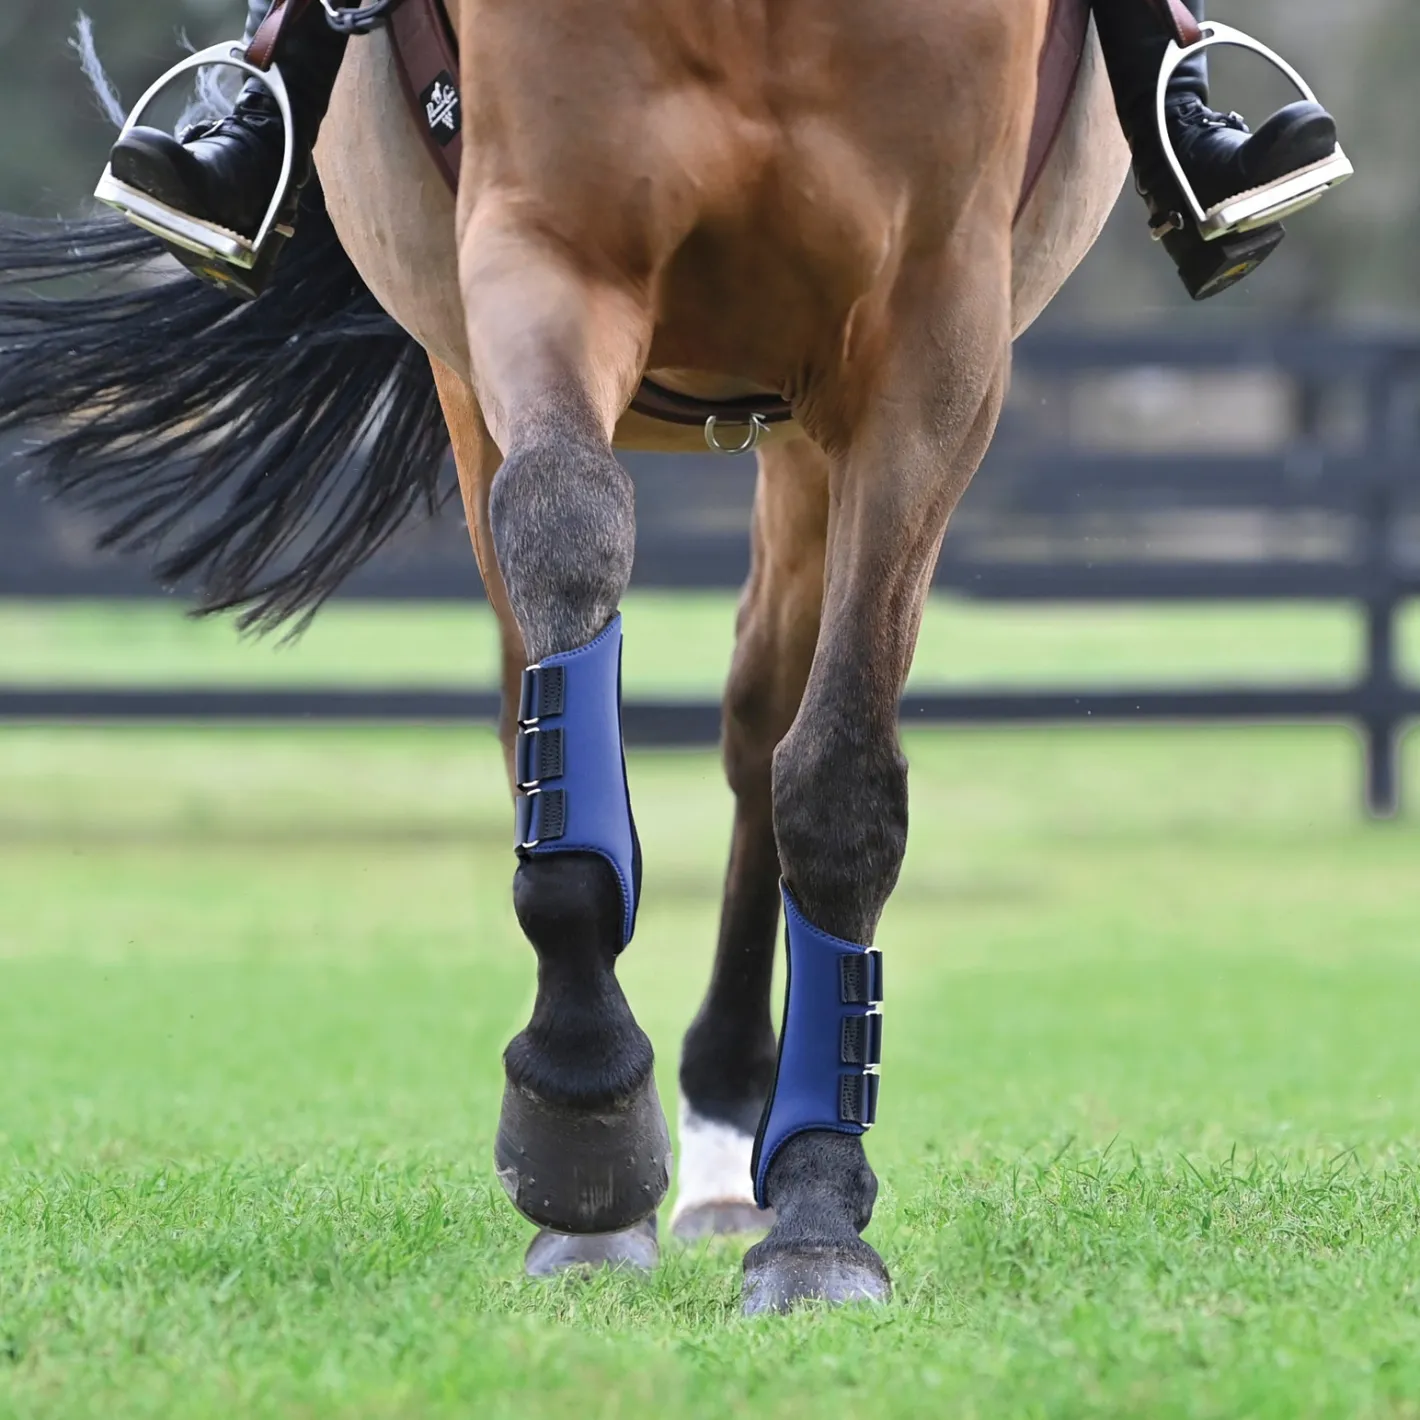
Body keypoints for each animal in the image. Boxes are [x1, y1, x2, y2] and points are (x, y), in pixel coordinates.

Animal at [0, 0, 1127, 1313]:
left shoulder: (929, 337)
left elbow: (839, 775)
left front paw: (816, 1213)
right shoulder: (543, 254)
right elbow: (567, 539)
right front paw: (582, 1107)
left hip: (807, 436)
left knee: (763, 723)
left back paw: (736, 1137)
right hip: (472, 369)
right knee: (535, 688)